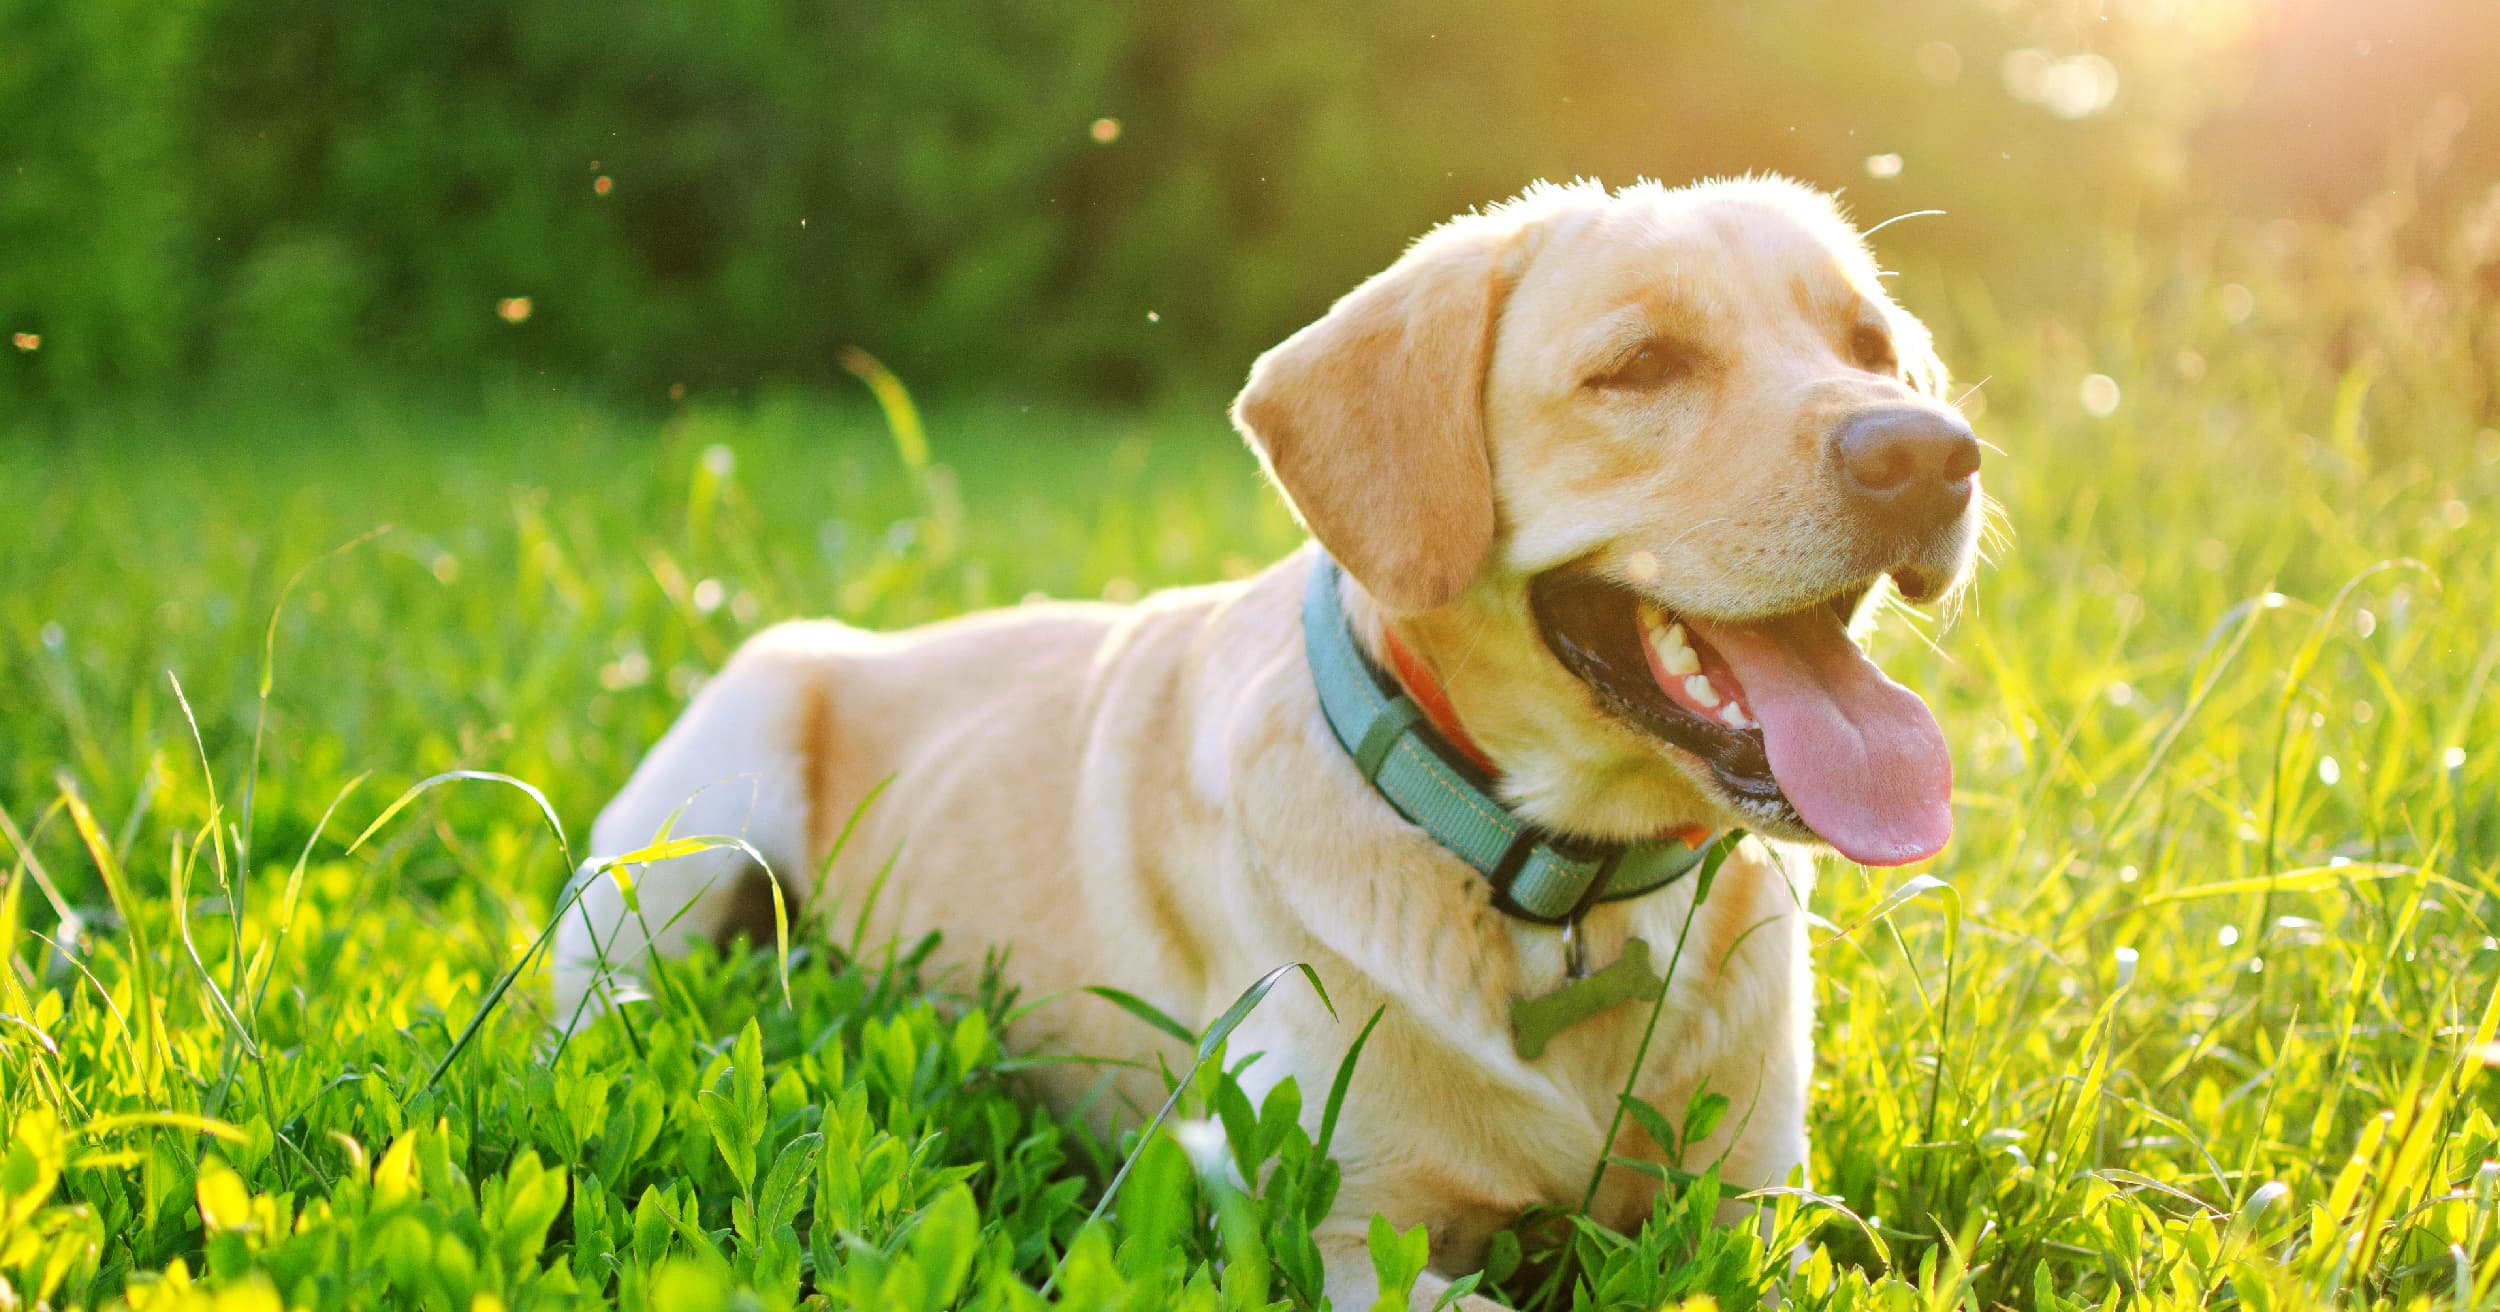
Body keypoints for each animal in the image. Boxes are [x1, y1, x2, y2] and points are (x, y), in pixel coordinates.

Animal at [557, 176, 1980, 1309]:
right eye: (1639, 367)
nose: (1933, 451)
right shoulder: (1335, 1224)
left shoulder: (1754, 1211)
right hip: (691, 820)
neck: (1556, 888)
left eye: (1869, 345)